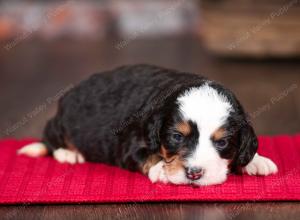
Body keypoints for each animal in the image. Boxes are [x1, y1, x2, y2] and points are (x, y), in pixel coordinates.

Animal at [17, 64, 278, 186]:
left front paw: (257, 161)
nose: (194, 174)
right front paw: (161, 168)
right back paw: (68, 153)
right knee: (50, 139)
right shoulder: (130, 144)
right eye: (176, 137)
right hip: (62, 122)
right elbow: (148, 156)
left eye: (222, 142)